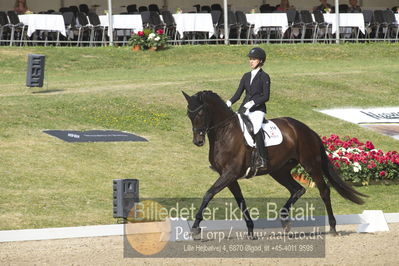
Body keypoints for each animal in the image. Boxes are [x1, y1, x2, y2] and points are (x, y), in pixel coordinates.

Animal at [183, 90, 368, 238]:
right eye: (189, 115)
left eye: (200, 113)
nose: (198, 141)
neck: (225, 132)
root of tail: (308, 130)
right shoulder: (229, 176)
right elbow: (240, 201)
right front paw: (250, 231)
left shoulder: (230, 174)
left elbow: (208, 194)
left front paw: (195, 227)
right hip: (279, 171)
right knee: (297, 189)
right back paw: (285, 221)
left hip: (310, 165)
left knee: (324, 191)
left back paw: (333, 227)